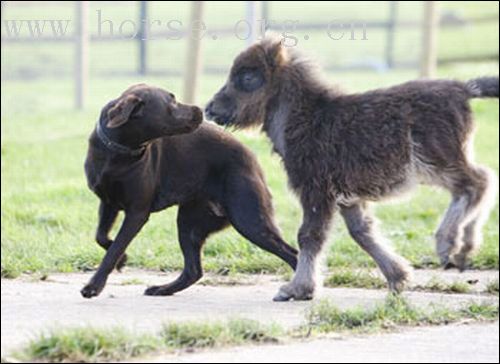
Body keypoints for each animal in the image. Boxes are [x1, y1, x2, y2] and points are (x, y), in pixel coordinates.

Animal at [82, 83, 296, 298]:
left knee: (293, 253)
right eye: (172, 102)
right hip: (190, 223)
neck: (118, 152)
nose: (200, 110)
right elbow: (101, 237)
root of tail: (250, 156)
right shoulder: (108, 203)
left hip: (249, 220)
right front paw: (122, 260)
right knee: (193, 271)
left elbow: (114, 249)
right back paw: (162, 289)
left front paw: (94, 286)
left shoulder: (137, 213)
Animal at [205, 35, 498, 300]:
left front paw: (297, 289)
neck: (305, 117)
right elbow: (362, 232)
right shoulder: (346, 198)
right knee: (481, 180)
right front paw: (398, 277)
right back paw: (465, 248)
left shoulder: (316, 192)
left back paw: (449, 244)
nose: (210, 108)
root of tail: (463, 88)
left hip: (435, 161)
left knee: (476, 182)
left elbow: (309, 235)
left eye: (247, 77)